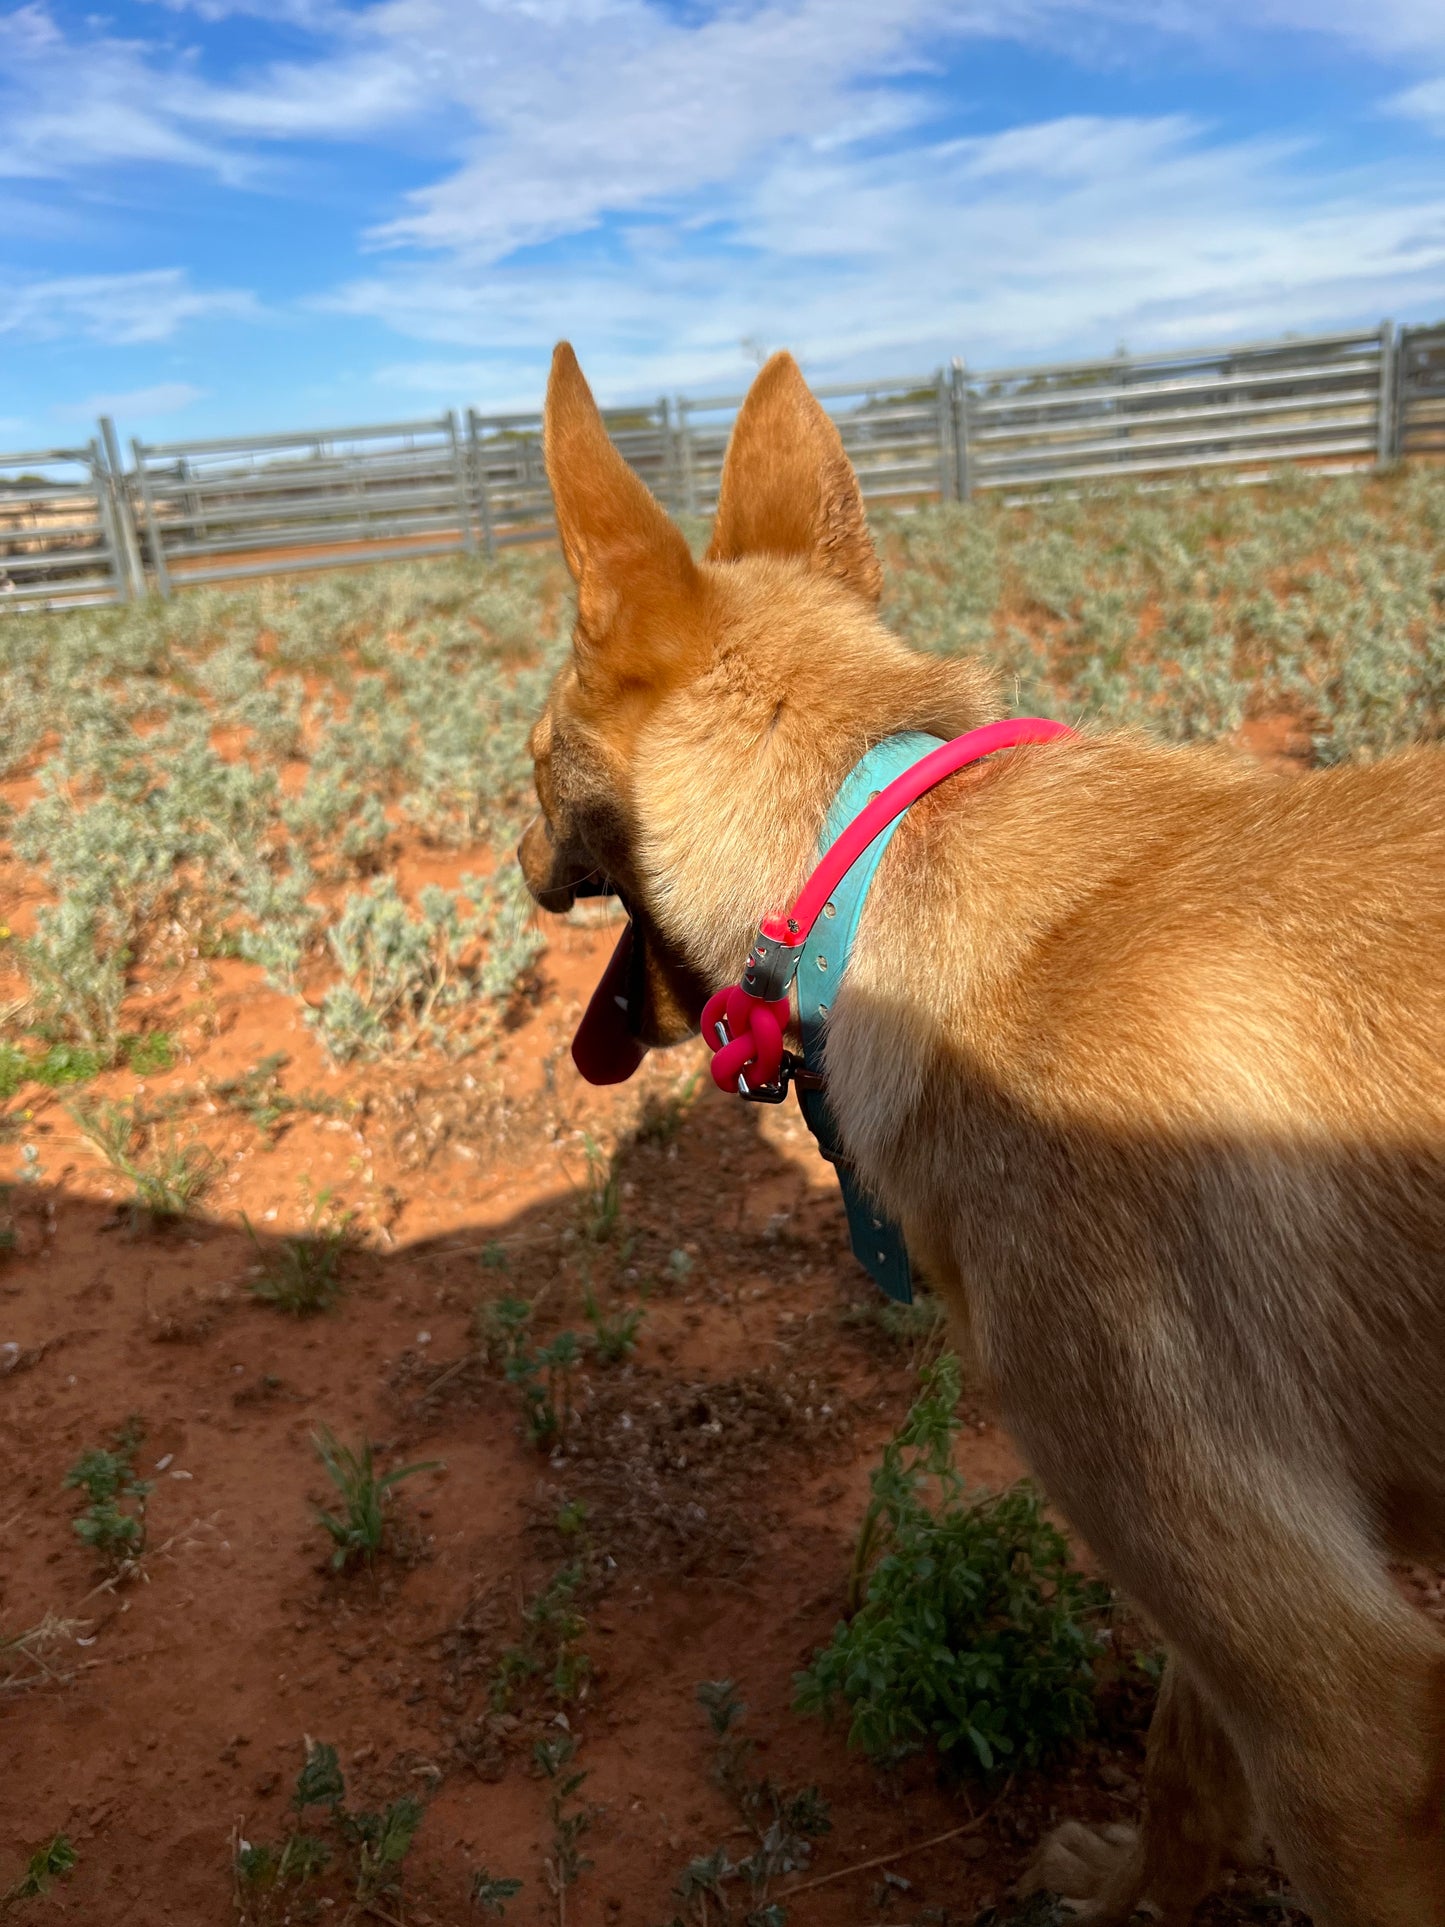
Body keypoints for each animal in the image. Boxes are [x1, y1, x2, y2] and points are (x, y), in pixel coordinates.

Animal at [524, 339, 1445, 1919]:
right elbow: (1182, 1772)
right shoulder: (1267, 1586)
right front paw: (1128, 1890)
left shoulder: (1344, 1718)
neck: (879, 869)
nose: (512, 848)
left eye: (526, 759)